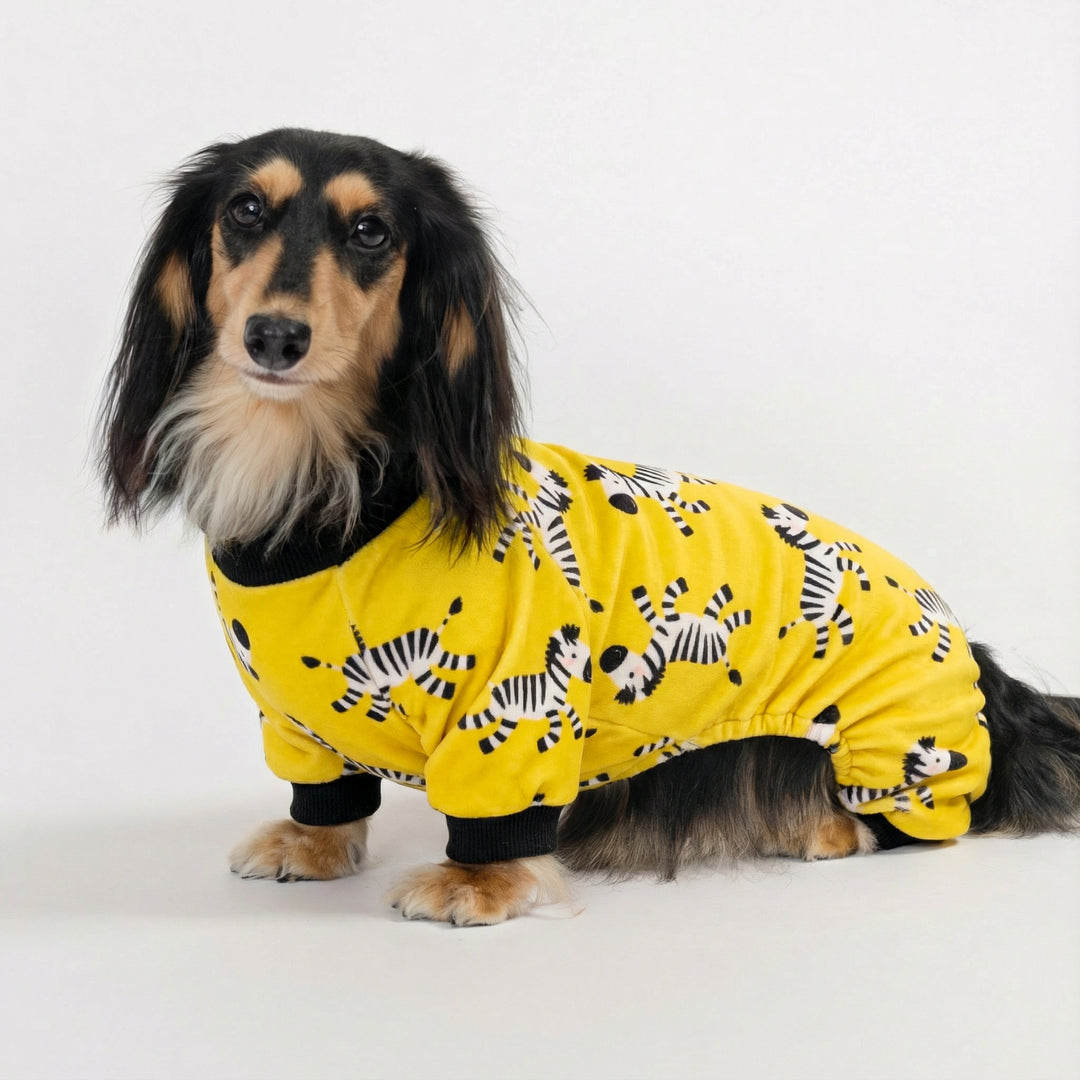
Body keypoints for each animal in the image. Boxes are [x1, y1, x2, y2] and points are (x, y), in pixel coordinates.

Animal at [458, 624, 593, 754]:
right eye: (574, 655)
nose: (589, 677)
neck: (555, 680)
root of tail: (495, 689)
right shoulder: (551, 708)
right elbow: (559, 724)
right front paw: (543, 744)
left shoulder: (556, 706)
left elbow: (570, 711)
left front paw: (577, 732)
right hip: (508, 713)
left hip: (509, 717)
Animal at [493, 452, 603, 612]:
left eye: (527, 461)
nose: (515, 453)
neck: (549, 499)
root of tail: (579, 578)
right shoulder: (532, 503)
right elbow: (518, 490)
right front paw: (503, 486)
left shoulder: (537, 516)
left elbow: (520, 514)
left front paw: (507, 507)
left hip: (568, 573)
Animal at [583, 461, 714, 536]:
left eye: (615, 481)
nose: (627, 508)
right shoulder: (662, 496)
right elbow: (676, 512)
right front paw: (687, 529)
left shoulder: (663, 492)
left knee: (694, 480)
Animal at [599, 577, 752, 704]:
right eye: (630, 675)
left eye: (615, 654)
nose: (606, 657)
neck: (658, 652)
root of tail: (722, 649)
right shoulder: (666, 623)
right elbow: (663, 600)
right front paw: (679, 585)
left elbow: (662, 601)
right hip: (716, 629)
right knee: (725, 615)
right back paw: (741, 609)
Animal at [762, 503, 871, 660]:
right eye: (788, 516)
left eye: (787, 509)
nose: (803, 514)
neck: (814, 547)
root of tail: (807, 616)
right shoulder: (840, 564)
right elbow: (858, 567)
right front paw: (865, 585)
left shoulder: (836, 552)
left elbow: (841, 544)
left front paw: (855, 548)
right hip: (823, 616)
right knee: (824, 635)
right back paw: (821, 655)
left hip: (832, 609)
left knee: (844, 623)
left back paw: (845, 642)